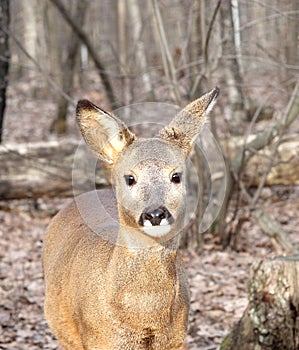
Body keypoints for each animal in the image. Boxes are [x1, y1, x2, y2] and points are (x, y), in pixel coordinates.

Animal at [42, 86, 220, 348]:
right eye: (130, 178)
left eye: (176, 176)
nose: (155, 213)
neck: (144, 317)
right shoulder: (97, 340)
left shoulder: (178, 341)